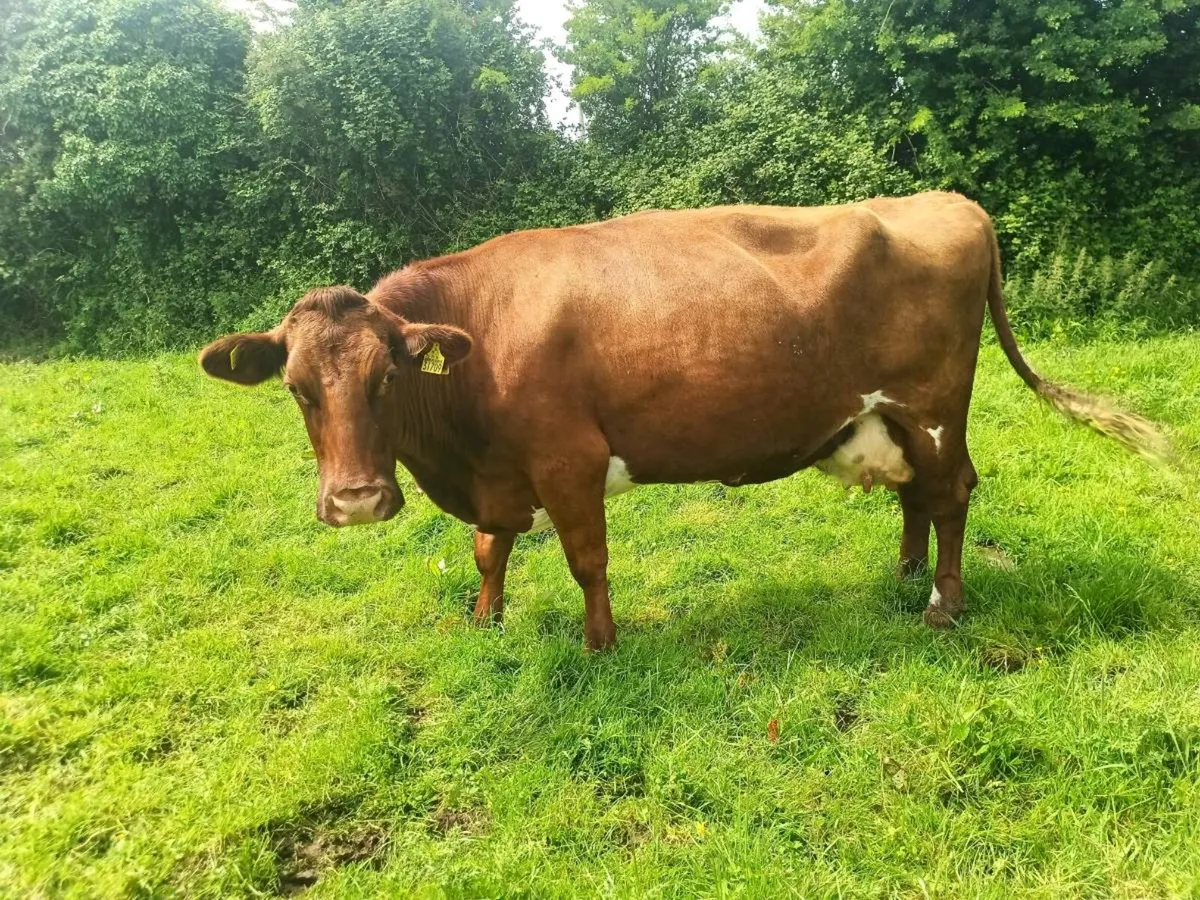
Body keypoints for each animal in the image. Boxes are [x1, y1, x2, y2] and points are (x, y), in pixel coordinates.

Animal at [199, 192, 1167, 650]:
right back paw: (902, 574)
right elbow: (488, 548)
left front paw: (600, 643)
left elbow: (586, 560)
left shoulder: (569, 458)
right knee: (919, 498)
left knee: (955, 493)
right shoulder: (503, 472)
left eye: (388, 378)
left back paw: (941, 605)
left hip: (931, 408)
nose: (357, 501)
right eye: (297, 387)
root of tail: (948, 201)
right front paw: (485, 618)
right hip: (892, 419)